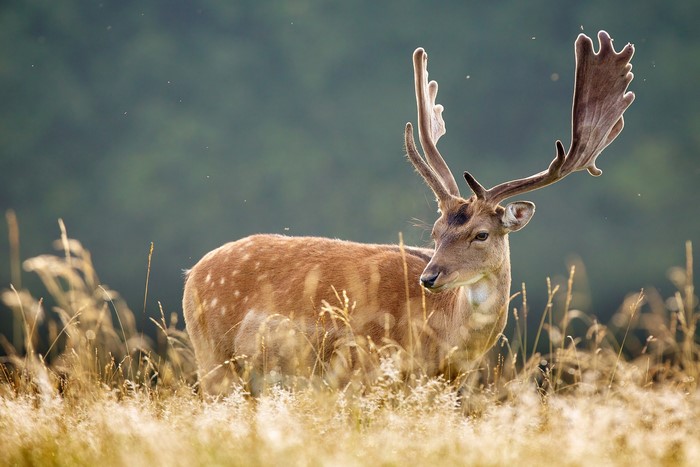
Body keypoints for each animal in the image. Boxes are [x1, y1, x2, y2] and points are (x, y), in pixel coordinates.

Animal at [183, 31, 635, 394]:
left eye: (481, 234)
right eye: (435, 232)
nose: (430, 277)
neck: (443, 342)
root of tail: (192, 274)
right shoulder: (366, 368)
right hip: (213, 359)